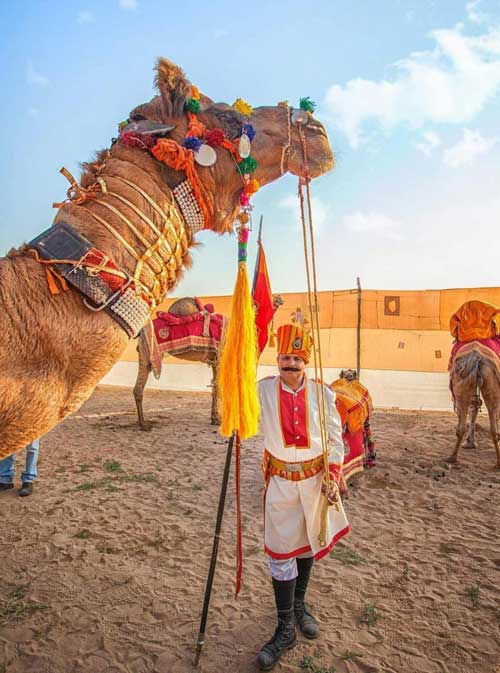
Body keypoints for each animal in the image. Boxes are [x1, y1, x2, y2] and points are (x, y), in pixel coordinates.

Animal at [134, 297, 222, 430]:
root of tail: (141, 331)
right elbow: (219, 386)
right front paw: (219, 421)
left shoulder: (215, 359)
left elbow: (215, 385)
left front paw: (215, 419)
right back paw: (144, 424)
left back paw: (142, 422)